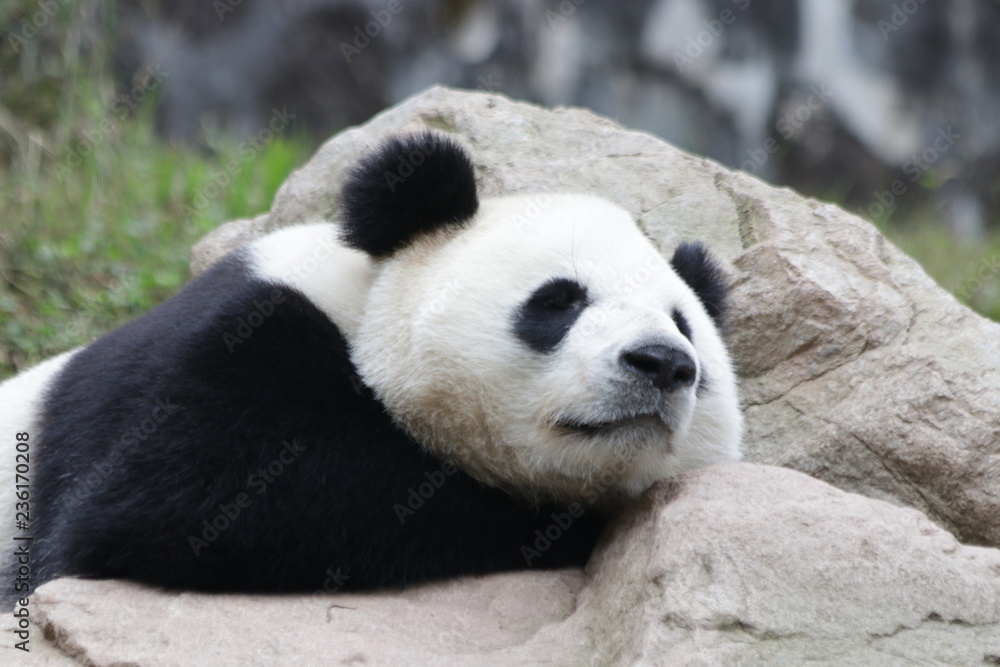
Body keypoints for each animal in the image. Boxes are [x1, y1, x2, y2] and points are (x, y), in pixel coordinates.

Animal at [0, 132, 741, 606]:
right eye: (559, 299)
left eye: (683, 325)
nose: (662, 363)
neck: (361, 303)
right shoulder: (231, 339)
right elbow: (177, 498)